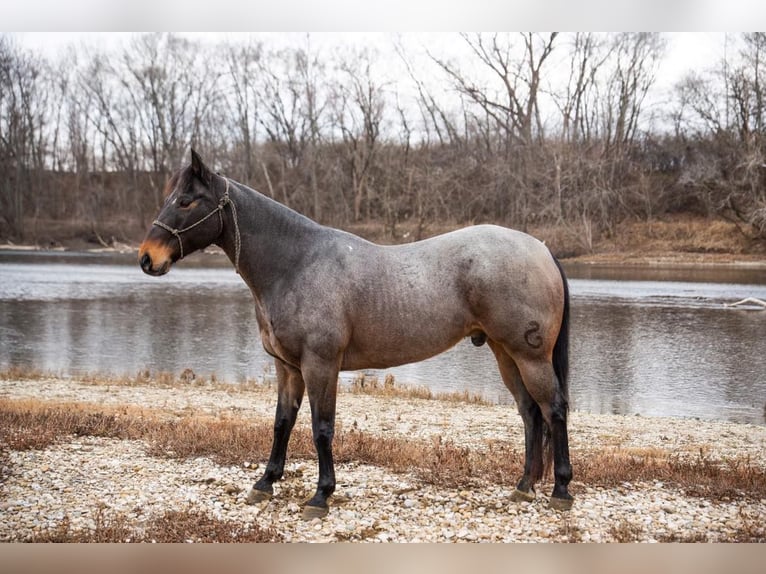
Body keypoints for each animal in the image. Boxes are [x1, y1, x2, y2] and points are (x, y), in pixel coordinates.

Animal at [138, 151, 572, 520]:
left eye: (187, 201)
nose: (147, 258)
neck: (295, 264)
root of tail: (541, 249)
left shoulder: (320, 365)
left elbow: (321, 428)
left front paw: (320, 496)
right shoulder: (287, 368)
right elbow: (282, 422)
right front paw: (265, 483)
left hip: (529, 356)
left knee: (553, 410)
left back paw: (561, 491)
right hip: (505, 353)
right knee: (530, 413)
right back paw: (523, 487)